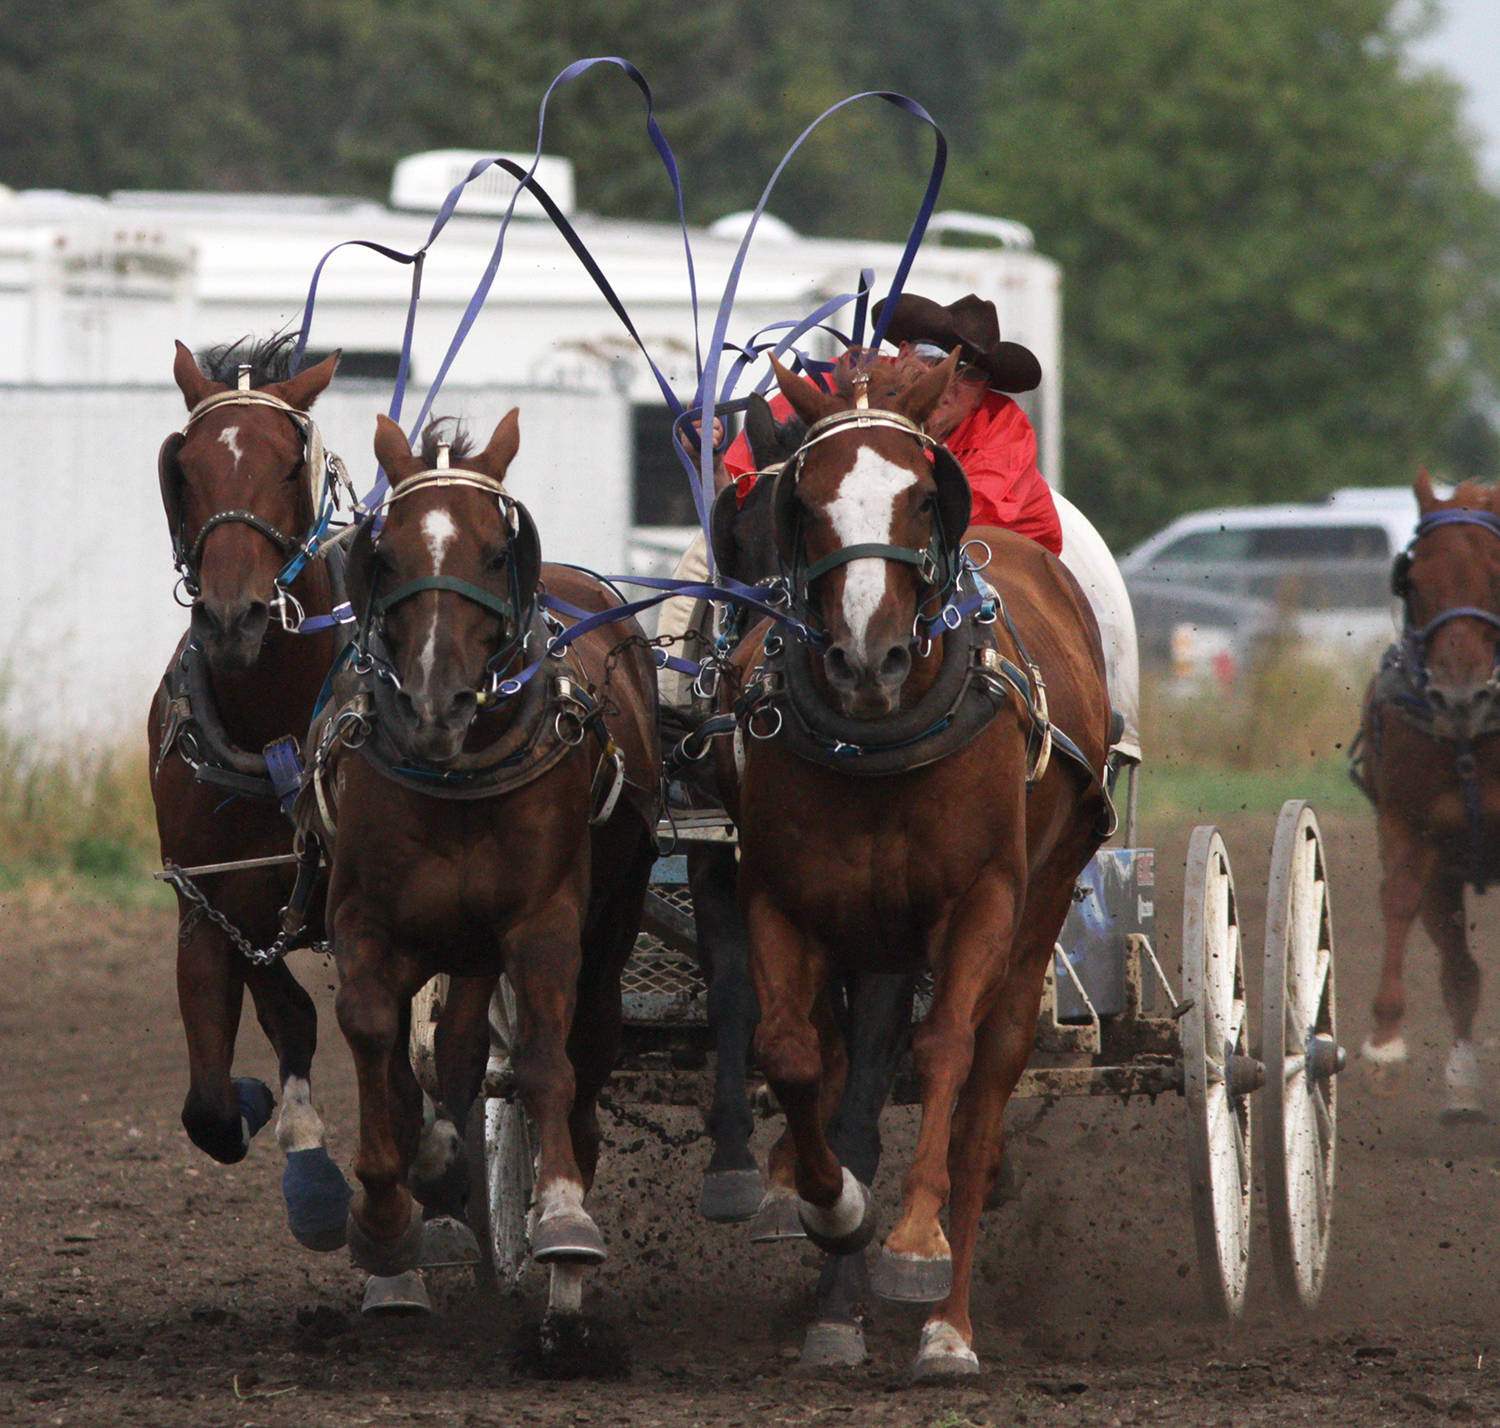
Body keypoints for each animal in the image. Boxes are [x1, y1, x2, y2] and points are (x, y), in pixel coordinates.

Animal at [301, 411, 654, 1326]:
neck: (457, 774)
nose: (437, 704)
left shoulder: (543, 920)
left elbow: (543, 1059)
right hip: (459, 942)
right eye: (386, 555)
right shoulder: (366, 918)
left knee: (583, 1044)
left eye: (497, 552)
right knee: (451, 1047)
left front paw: (561, 1214)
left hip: (608, 920)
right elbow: (375, 1035)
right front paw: (389, 1212)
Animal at [714, 351, 1116, 1380]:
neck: (876, 740)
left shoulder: (980, 902)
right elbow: (792, 1051)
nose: (868, 657)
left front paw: (912, 1245)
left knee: (984, 1090)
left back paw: (949, 1324)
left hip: (1038, 908)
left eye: (922, 496)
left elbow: (943, 1055)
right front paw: (822, 1203)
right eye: (807, 499)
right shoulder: (779, 895)